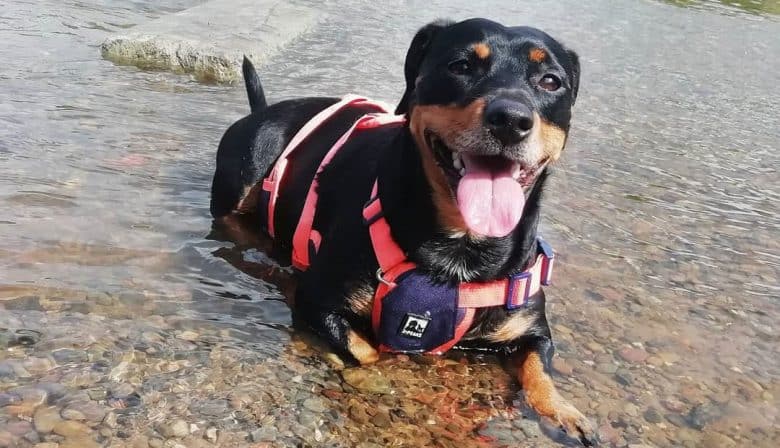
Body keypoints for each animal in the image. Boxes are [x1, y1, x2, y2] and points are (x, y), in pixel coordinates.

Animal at [210, 17, 596, 444]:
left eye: (550, 81)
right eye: (460, 66)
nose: (511, 119)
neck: (464, 246)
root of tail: (264, 109)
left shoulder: (532, 328)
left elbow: (540, 368)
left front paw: (565, 413)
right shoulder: (317, 300)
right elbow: (367, 352)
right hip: (248, 165)